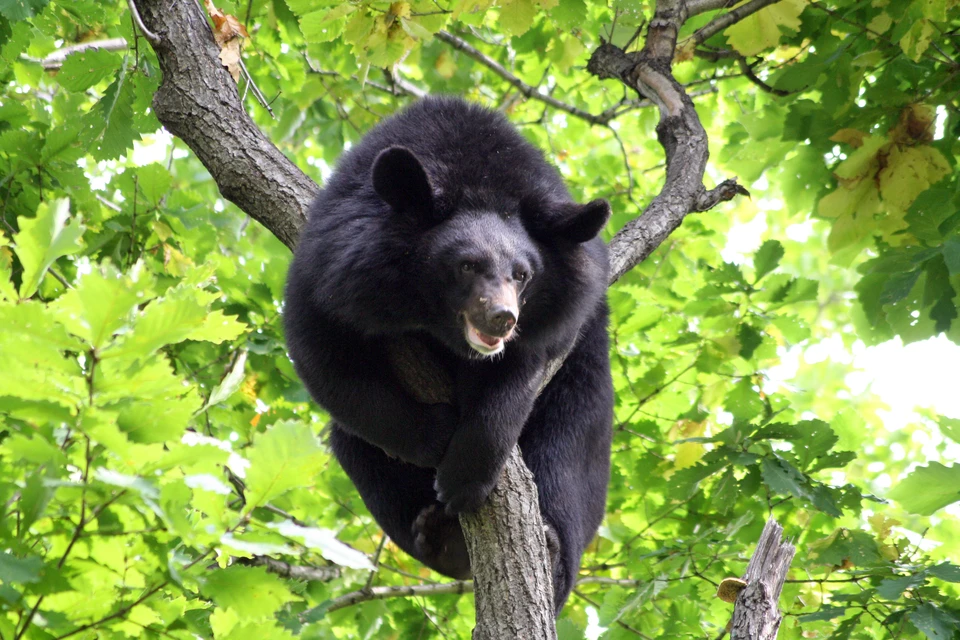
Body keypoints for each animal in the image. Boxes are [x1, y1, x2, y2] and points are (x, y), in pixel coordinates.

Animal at [284, 96, 616, 616]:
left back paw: (548, 548)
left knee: (569, 453)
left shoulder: (556, 317)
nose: (502, 318)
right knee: (356, 447)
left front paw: (464, 474)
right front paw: (437, 434)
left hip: (585, 399)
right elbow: (327, 357)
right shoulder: (333, 266)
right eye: (466, 265)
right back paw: (440, 538)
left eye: (523, 274)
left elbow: (520, 379)